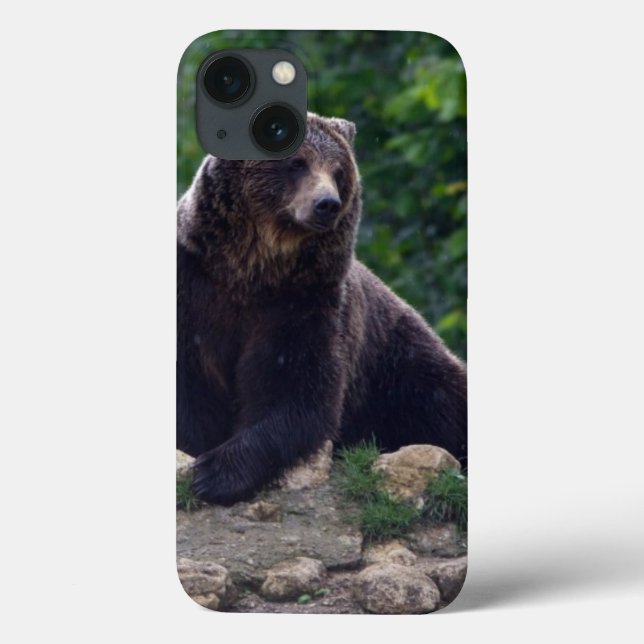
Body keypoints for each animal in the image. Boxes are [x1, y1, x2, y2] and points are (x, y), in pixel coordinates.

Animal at [177, 112, 467, 506]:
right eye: (297, 163)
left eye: (339, 170)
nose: (327, 203)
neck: (252, 269)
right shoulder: (195, 288)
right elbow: (190, 385)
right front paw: (197, 457)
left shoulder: (305, 303)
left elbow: (298, 390)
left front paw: (216, 472)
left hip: (400, 365)